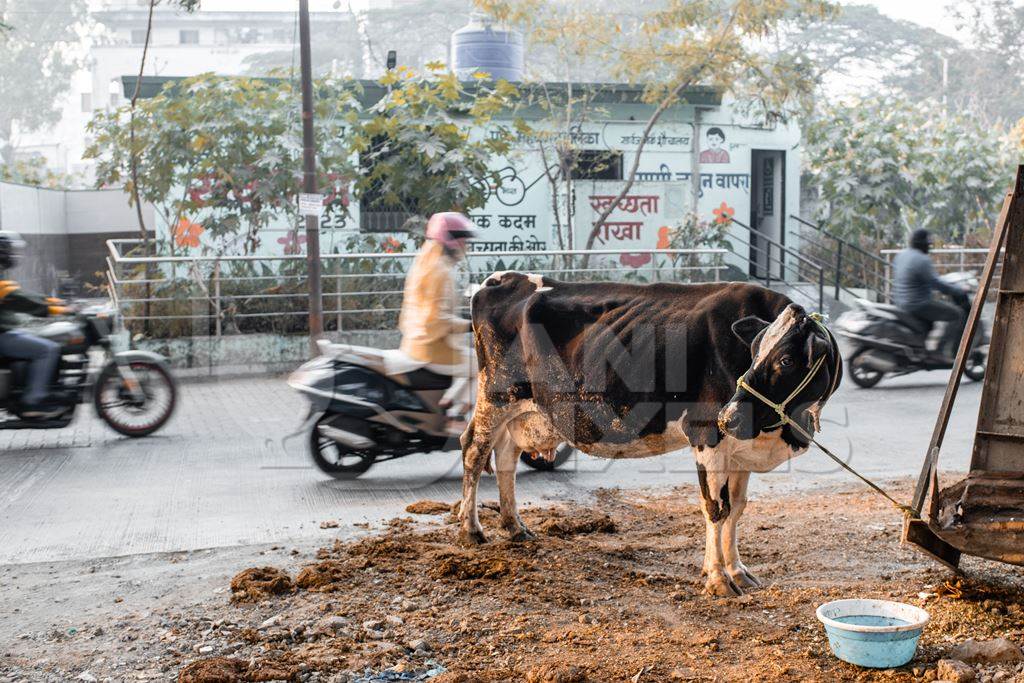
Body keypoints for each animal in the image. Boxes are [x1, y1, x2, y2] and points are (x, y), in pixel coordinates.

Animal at [460, 274, 843, 593]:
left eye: (786, 360)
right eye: (754, 352)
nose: (729, 416)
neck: (779, 430)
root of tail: (502, 280)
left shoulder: (740, 449)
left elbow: (736, 509)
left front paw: (737, 571)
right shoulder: (706, 435)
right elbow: (715, 509)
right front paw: (718, 579)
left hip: (525, 411)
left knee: (505, 457)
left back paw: (514, 526)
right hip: (496, 396)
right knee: (474, 452)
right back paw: (471, 530)